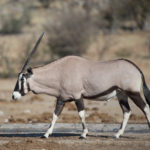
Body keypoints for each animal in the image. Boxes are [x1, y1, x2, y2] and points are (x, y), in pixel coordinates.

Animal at [12, 32, 150, 138]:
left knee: (145, 107)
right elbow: (55, 115)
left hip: (133, 92)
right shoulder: (62, 99)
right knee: (127, 111)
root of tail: (136, 68)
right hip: (122, 94)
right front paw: (46, 134)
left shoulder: (77, 96)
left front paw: (83, 134)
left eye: (22, 79)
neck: (60, 71)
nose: (14, 96)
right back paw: (117, 134)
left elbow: (81, 114)